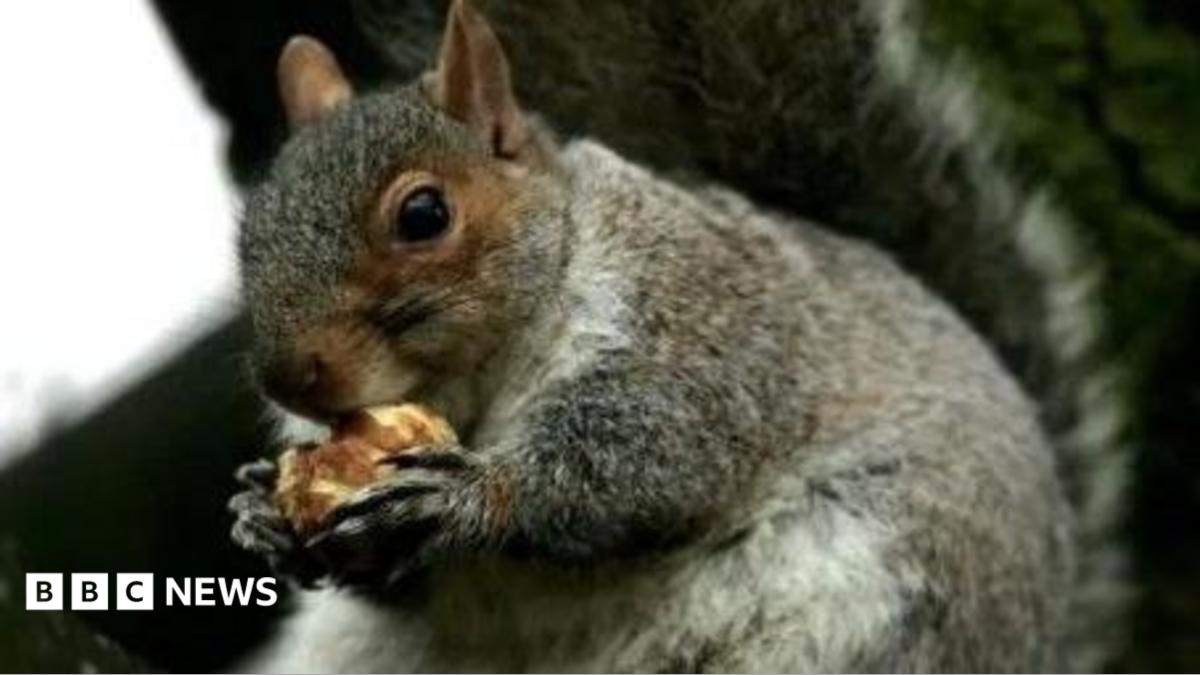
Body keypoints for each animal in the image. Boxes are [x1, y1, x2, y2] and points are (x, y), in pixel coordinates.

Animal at [229, 0, 1126, 671]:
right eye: (251, 228)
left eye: (423, 213)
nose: (289, 376)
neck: (475, 378)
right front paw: (261, 516)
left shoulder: (697, 324)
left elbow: (644, 461)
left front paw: (465, 496)